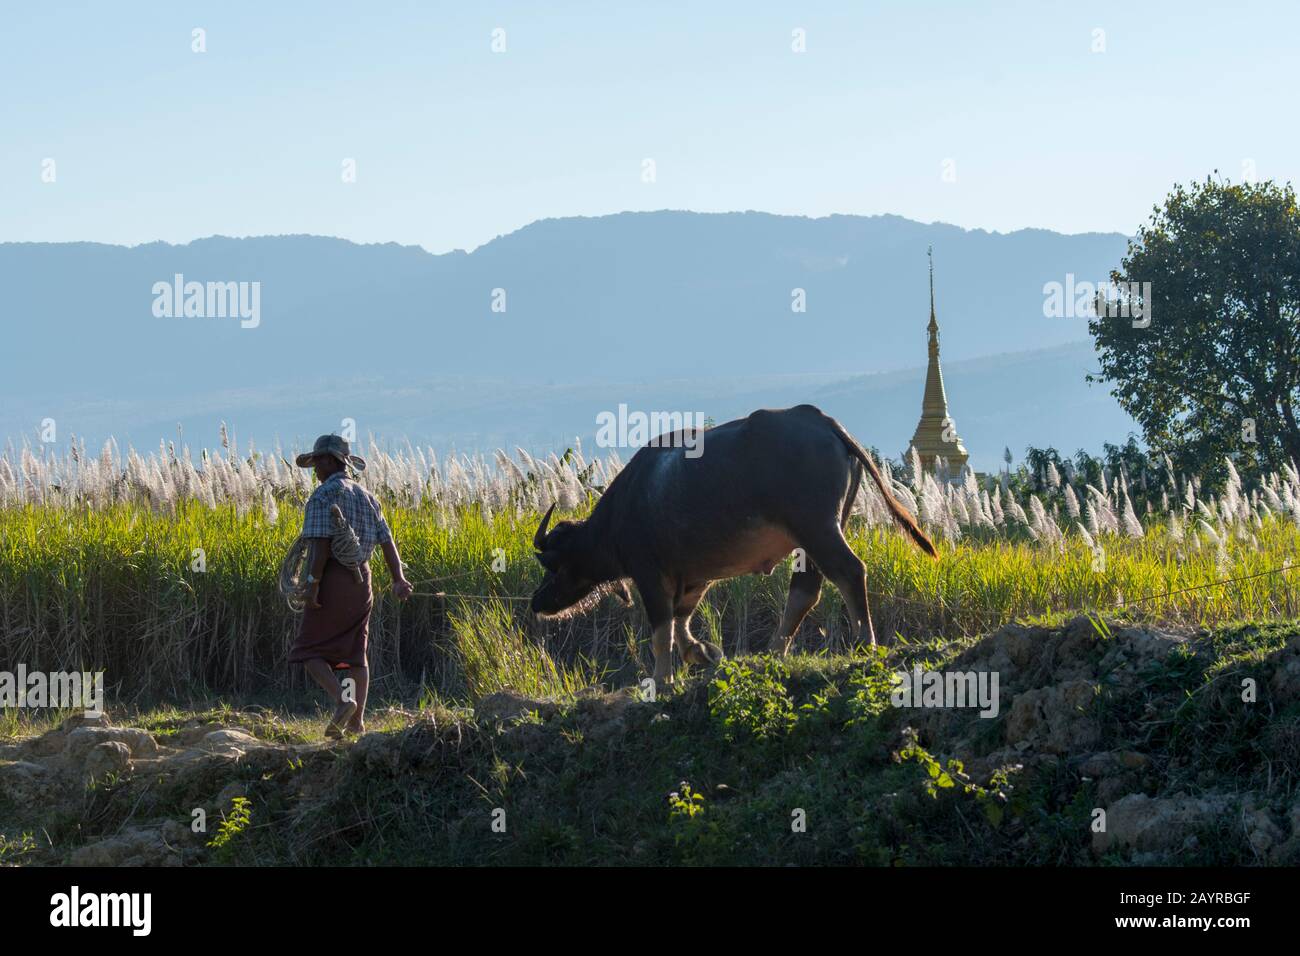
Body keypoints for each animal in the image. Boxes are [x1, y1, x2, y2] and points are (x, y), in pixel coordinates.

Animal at [529, 404, 938, 686]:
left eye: (553, 565)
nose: (537, 601)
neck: (626, 506)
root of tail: (823, 421)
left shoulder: (650, 574)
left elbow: (661, 629)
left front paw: (662, 679)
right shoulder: (694, 577)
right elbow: (682, 620)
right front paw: (702, 653)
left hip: (817, 528)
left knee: (850, 571)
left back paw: (865, 643)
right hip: (818, 534)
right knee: (807, 589)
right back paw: (774, 652)